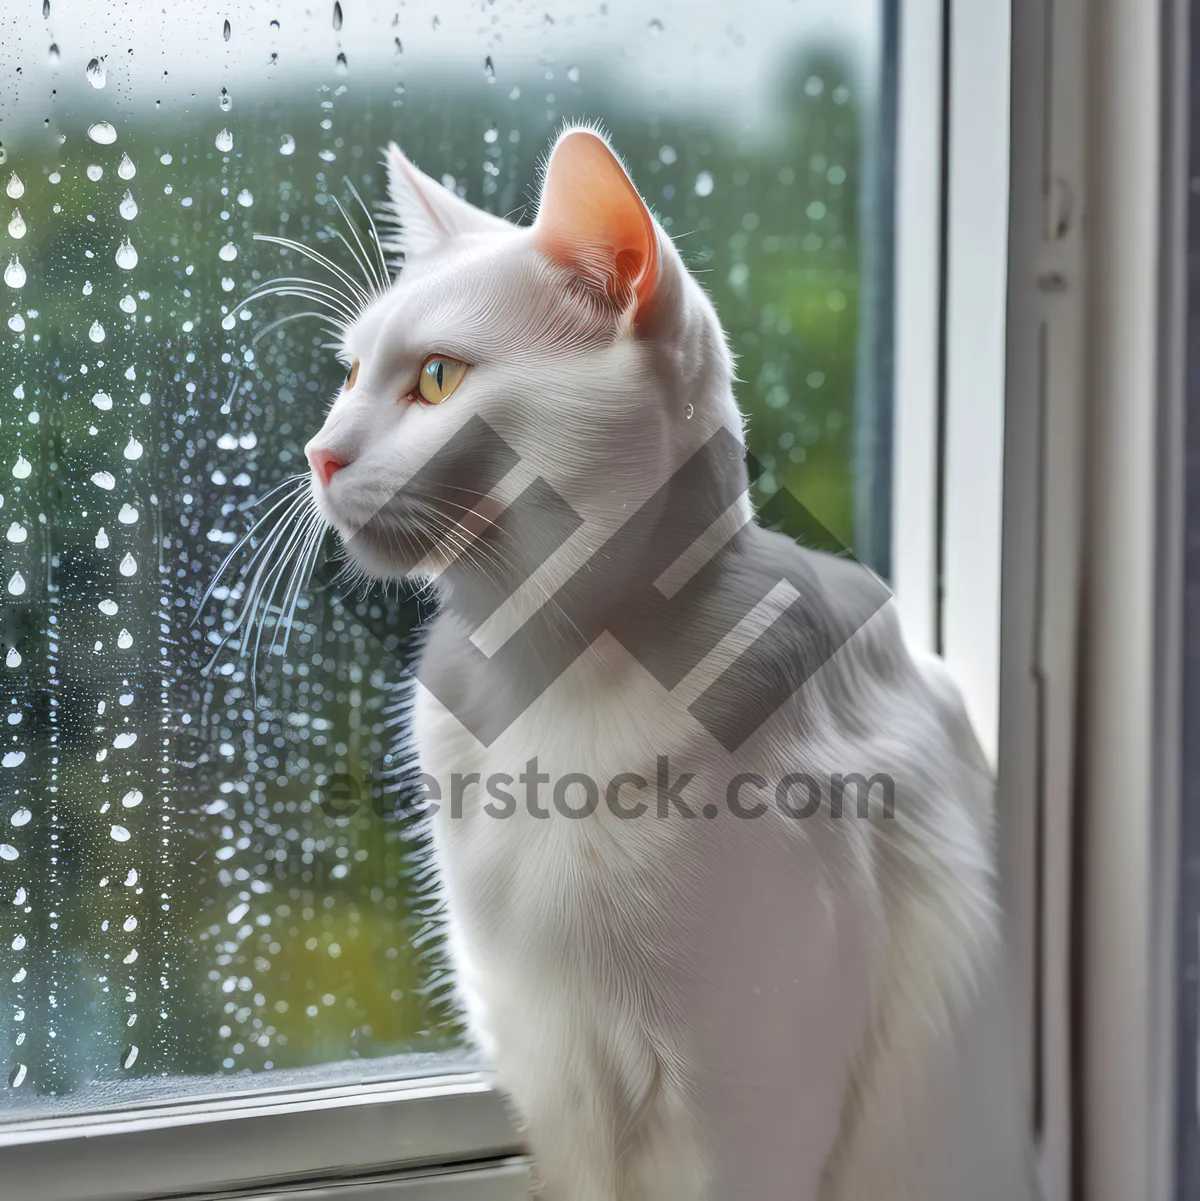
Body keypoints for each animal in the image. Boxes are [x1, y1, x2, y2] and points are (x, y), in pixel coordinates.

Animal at [300, 129, 1033, 1201]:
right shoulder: (546, 1073)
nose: (320, 453)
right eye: (351, 373)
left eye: (437, 378)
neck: (550, 677)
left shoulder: (749, 1101)